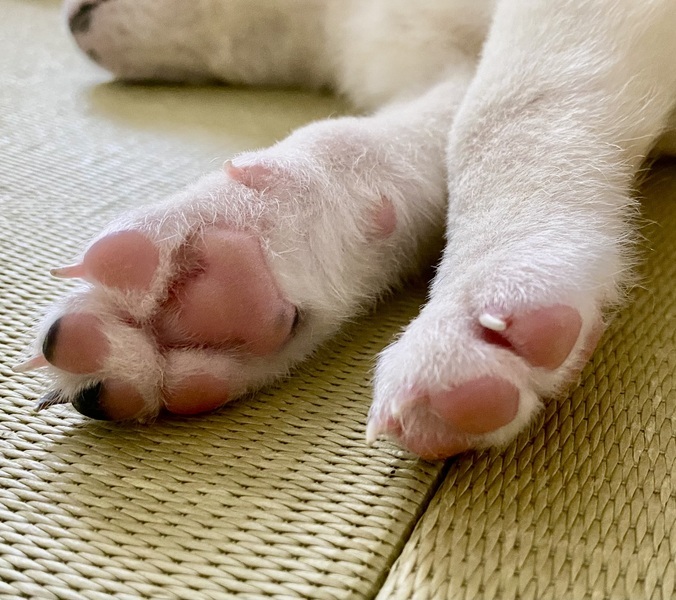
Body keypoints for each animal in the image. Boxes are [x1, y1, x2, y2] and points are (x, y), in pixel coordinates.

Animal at [17, 0, 676, 459]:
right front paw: (234, 258)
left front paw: (495, 289)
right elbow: (373, 145)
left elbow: (504, 109)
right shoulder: (438, 62)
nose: (70, 18)